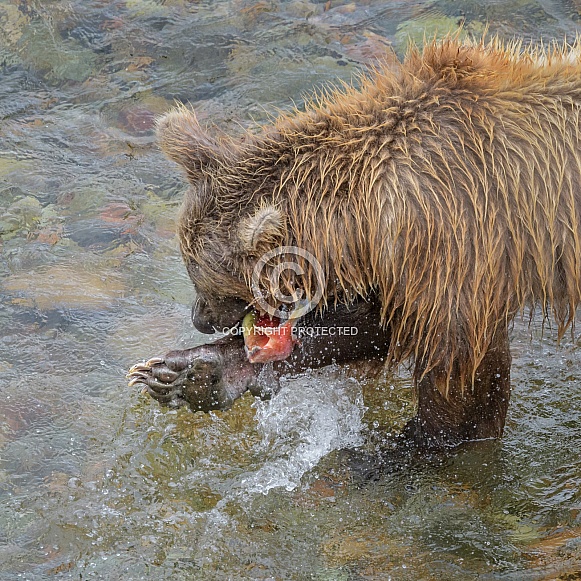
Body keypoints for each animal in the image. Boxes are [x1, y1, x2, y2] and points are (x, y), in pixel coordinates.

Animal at [129, 38, 580, 448]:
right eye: (189, 265)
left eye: (207, 281)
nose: (199, 317)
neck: (361, 214)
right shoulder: (413, 261)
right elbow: (376, 322)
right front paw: (191, 373)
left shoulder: (453, 239)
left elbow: (457, 363)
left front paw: (408, 446)